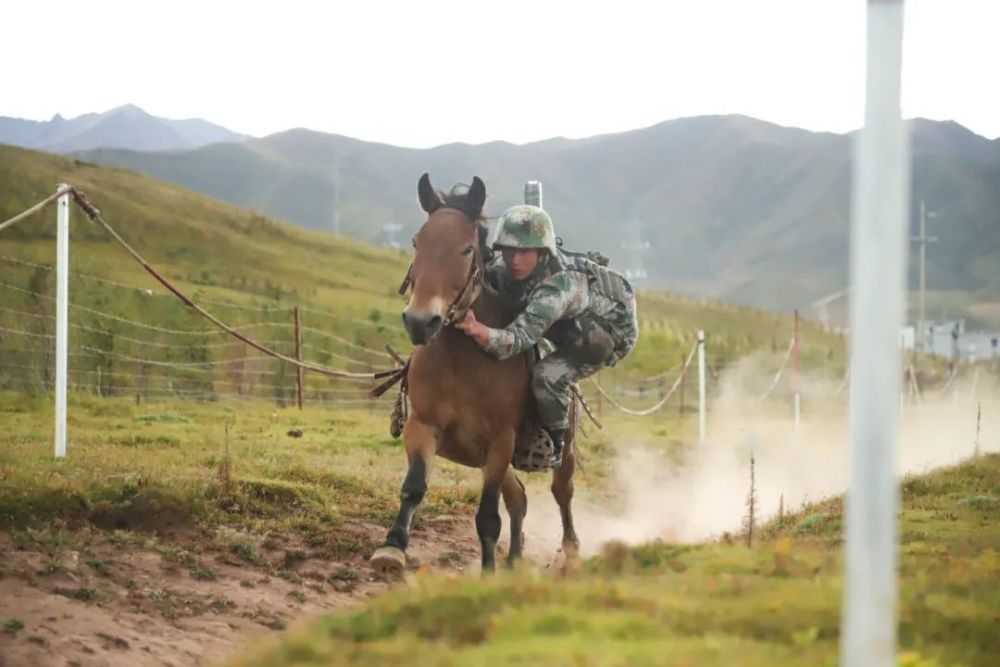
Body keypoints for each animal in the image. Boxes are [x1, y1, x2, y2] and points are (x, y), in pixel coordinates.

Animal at [370, 175, 580, 576]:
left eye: (467, 249)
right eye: (417, 241)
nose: (420, 322)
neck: (461, 362)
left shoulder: (500, 441)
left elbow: (487, 516)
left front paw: (487, 573)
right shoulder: (423, 428)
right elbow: (413, 487)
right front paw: (391, 547)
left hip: (561, 447)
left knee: (561, 492)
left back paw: (572, 551)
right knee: (519, 498)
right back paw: (514, 559)